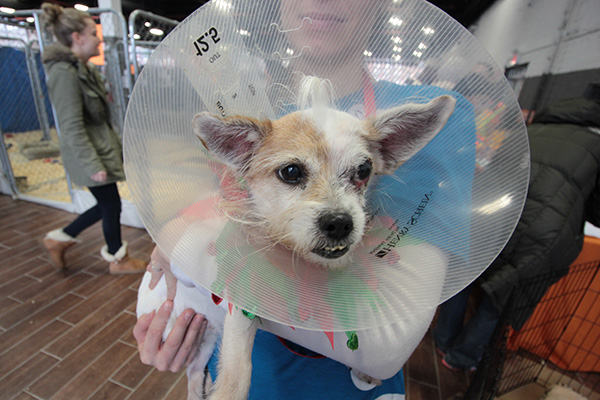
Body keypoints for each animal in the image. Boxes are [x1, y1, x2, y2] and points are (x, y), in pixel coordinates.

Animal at [137, 76, 454, 398]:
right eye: (290, 171)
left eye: (364, 170)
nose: (339, 223)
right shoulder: (243, 299)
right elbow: (237, 373)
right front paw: (229, 389)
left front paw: (364, 373)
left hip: (205, 338)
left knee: (193, 372)